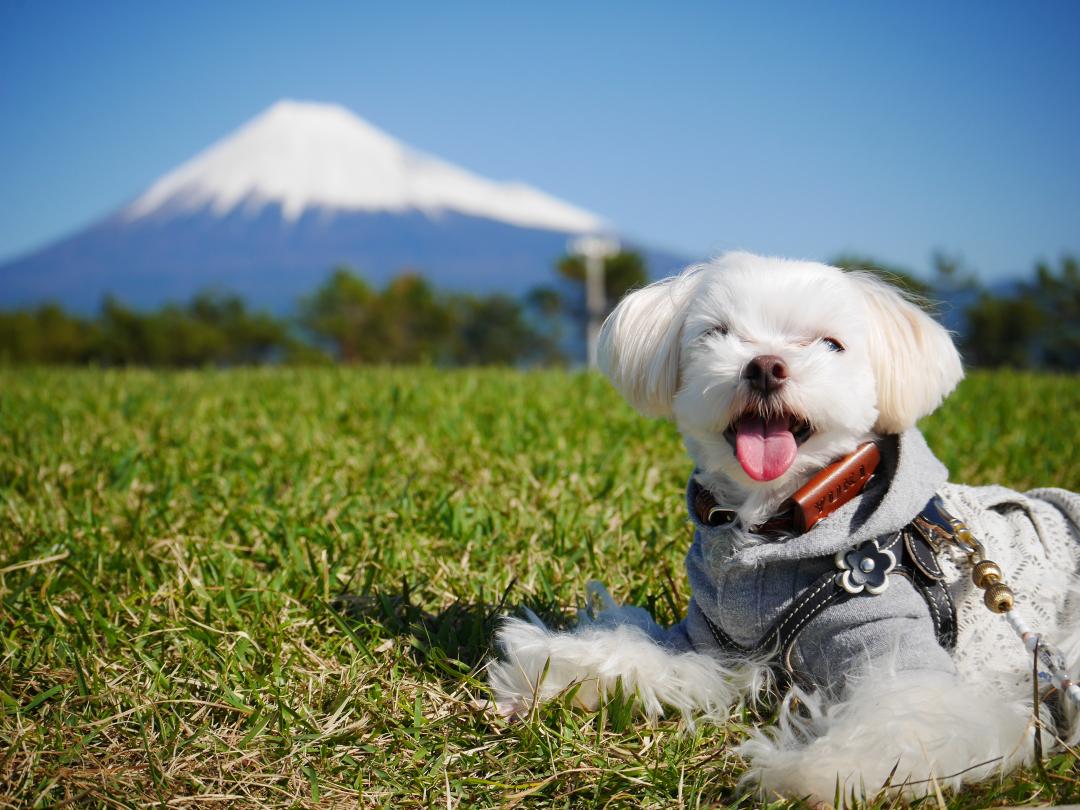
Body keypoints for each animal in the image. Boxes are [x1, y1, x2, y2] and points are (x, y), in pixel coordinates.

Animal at [490, 253, 1080, 807]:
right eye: (718, 333)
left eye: (831, 344)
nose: (766, 366)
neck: (774, 529)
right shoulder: (714, 641)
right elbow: (633, 650)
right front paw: (552, 671)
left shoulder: (906, 658)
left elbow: (905, 718)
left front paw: (819, 772)